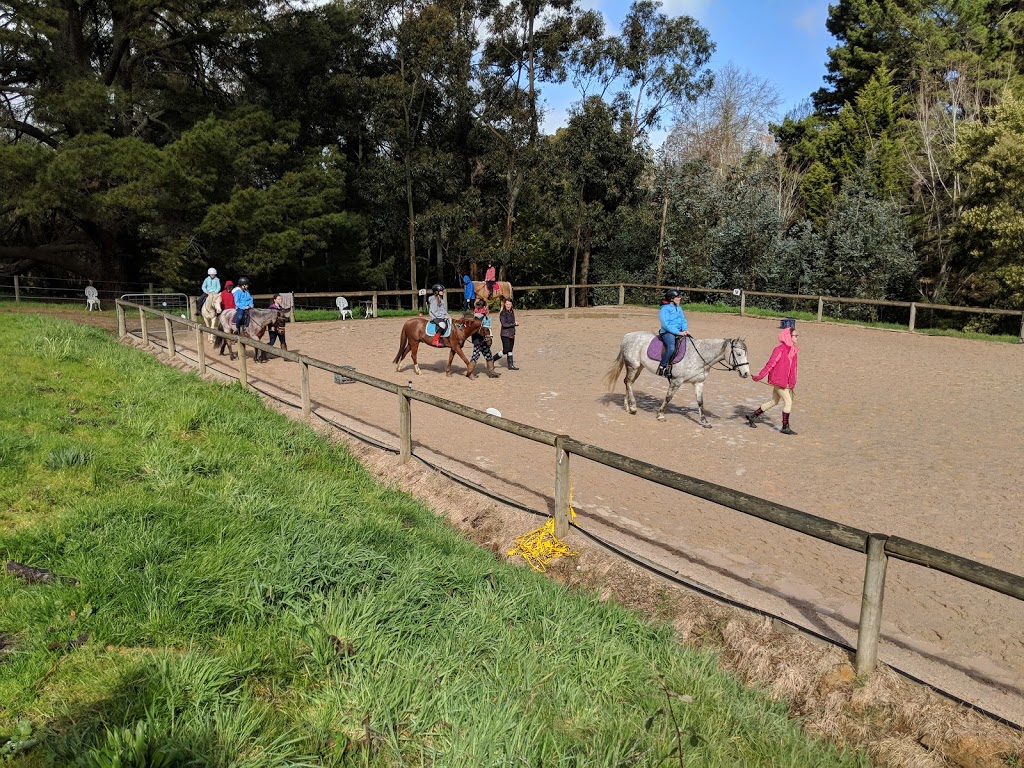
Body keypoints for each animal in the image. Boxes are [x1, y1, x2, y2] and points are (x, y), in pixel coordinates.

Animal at [598, 331, 753, 428]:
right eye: (738, 354)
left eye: (746, 353)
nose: (746, 373)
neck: (700, 356)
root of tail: (627, 336)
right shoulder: (676, 381)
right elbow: (668, 397)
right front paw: (660, 415)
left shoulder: (698, 383)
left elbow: (700, 402)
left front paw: (704, 422)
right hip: (633, 366)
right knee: (629, 382)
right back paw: (634, 407)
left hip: (639, 368)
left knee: (628, 382)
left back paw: (628, 407)